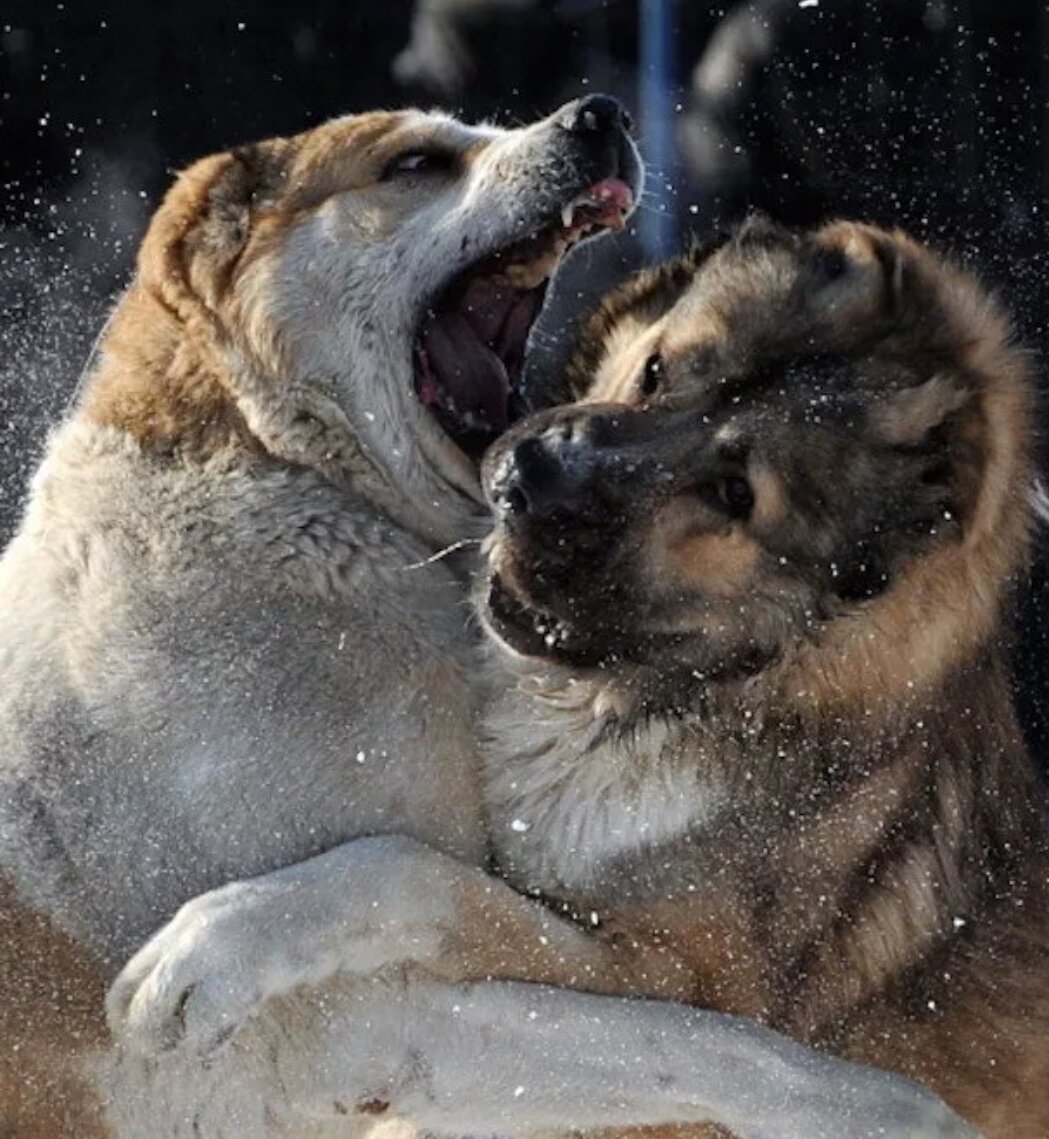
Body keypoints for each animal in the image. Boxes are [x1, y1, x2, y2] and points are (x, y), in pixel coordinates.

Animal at [2, 100, 974, 1139]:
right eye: (415, 162)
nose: (599, 114)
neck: (279, 477)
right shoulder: (356, 1024)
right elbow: (685, 1038)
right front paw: (890, 1108)